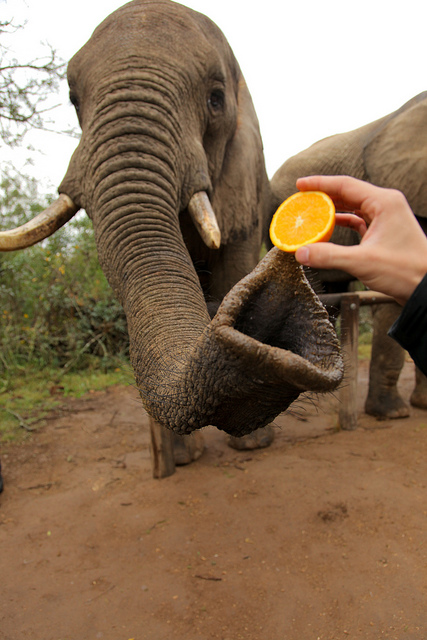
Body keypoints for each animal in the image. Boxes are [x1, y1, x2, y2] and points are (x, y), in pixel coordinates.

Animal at [0, 0, 343, 473]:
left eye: (216, 99)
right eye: (72, 100)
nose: (287, 270)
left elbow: (232, 263)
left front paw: (253, 448)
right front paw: (182, 460)